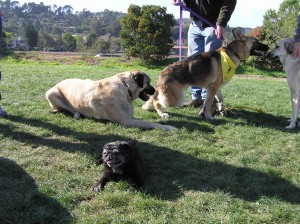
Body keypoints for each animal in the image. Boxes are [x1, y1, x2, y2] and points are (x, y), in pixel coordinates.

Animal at [44, 71, 176, 130]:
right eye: (148, 82)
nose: (155, 90)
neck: (125, 87)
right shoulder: (126, 121)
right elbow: (151, 123)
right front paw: (169, 127)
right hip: (51, 94)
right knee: (67, 108)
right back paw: (77, 114)